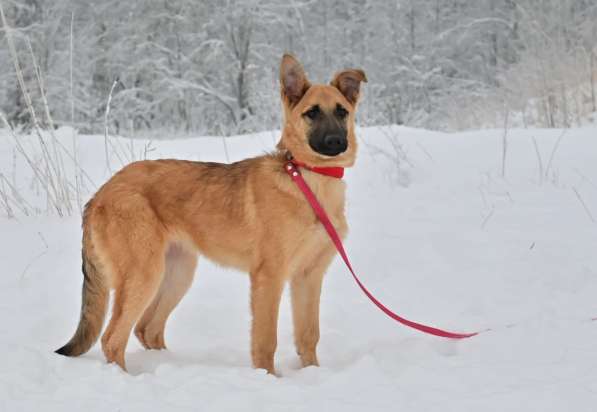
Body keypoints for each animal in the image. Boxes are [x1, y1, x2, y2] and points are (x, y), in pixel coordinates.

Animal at [56, 54, 366, 374]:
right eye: (312, 113)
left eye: (342, 112)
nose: (335, 142)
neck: (309, 178)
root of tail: (100, 193)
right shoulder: (269, 276)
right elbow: (266, 340)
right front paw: (267, 377)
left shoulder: (309, 276)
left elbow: (308, 335)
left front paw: (311, 374)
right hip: (144, 275)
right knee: (113, 338)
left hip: (178, 273)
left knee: (147, 328)